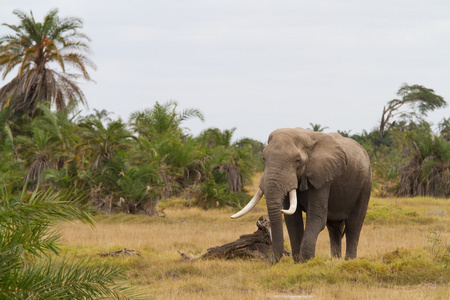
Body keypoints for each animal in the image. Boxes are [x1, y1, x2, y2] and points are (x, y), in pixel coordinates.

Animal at [230, 127, 370, 264]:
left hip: (365, 184)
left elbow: (316, 218)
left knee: (354, 225)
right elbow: (293, 220)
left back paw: (349, 261)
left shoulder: (322, 178)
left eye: (297, 160)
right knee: (334, 227)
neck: (305, 136)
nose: (267, 263)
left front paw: (307, 262)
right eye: (264, 158)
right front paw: (298, 263)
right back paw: (335, 260)